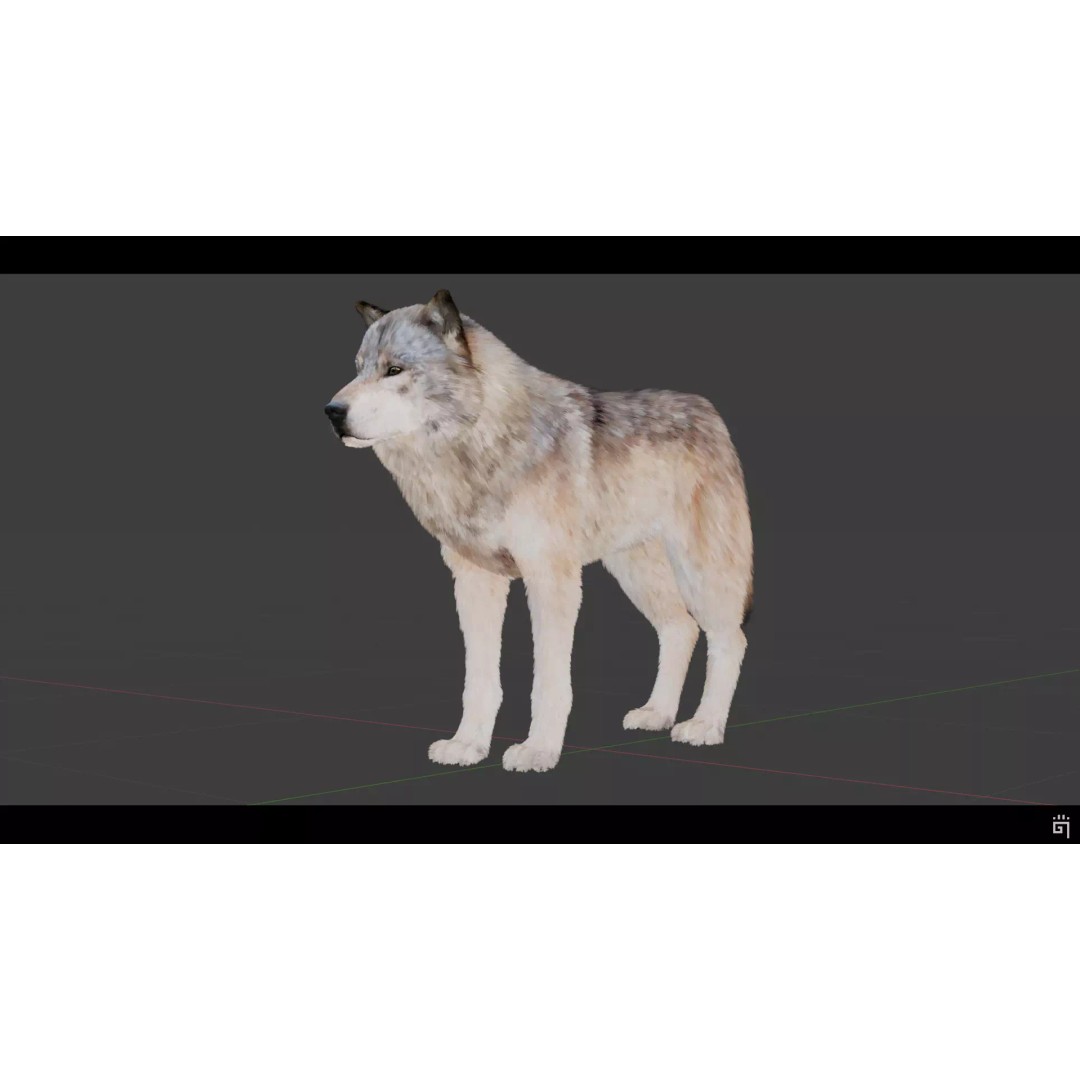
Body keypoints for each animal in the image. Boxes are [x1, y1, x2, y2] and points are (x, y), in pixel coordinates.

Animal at [324, 290, 753, 773]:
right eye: (358, 368)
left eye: (394, 370)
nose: (332, 412)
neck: (480, 446)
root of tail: (707, 409)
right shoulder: (474, 580)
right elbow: (479, 682)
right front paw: (467, 746)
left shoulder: (551, 580)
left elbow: (548, 681)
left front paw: (538, 751)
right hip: (637, 572)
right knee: (681, 629)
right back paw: (657, 714)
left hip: (700, 572)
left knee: (729, 639)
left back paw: (705, 726)